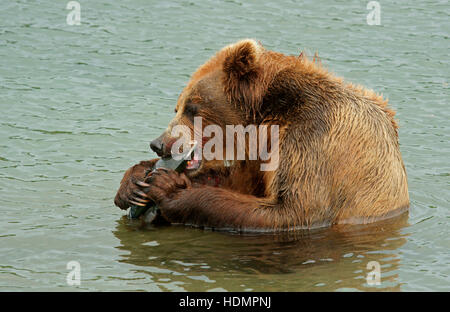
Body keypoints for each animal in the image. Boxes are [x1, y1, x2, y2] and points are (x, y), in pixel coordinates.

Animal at [114, 39, 410, 232]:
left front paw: (168, 187)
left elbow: (293, 210)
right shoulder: (255, 158)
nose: (158, 144)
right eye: (177, 106)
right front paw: (134, 181)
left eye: (192, 107)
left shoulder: (313, 137)